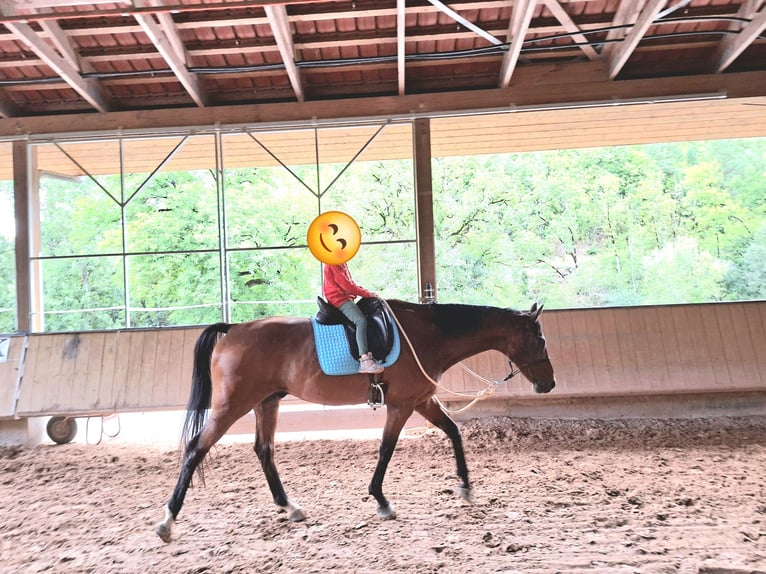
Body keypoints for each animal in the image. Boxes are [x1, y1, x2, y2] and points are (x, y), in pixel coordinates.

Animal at [154, 299, 556, 542]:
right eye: (540, 340)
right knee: (196, 449)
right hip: (232, 406)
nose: (549, 384)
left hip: (266, 403)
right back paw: (168, 521)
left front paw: (466, 487)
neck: (428, 334)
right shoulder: (402, 405)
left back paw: (290, 507)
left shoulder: (422, 401)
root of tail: (233, 329)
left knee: (263, 450)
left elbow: (454, 433)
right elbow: (386, 449)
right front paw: (381, 499)